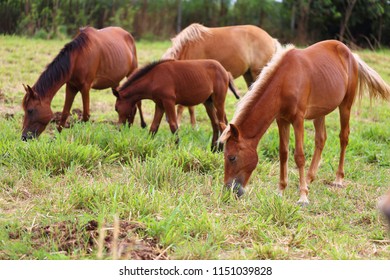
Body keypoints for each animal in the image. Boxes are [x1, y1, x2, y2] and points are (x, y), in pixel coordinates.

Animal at [219, 39, 390, 205]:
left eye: (232, 157)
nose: (229, 190)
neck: (284, 81)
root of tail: (351, 55)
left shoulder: (298, 121)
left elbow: (299, 156)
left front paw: (303, 197)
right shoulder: (282, 120)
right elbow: (283, 153)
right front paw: (281, 190)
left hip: (345, 106)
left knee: (344, 137)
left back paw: (338, 179)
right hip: (320, 112)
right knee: (321, 139)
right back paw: (309, 179)